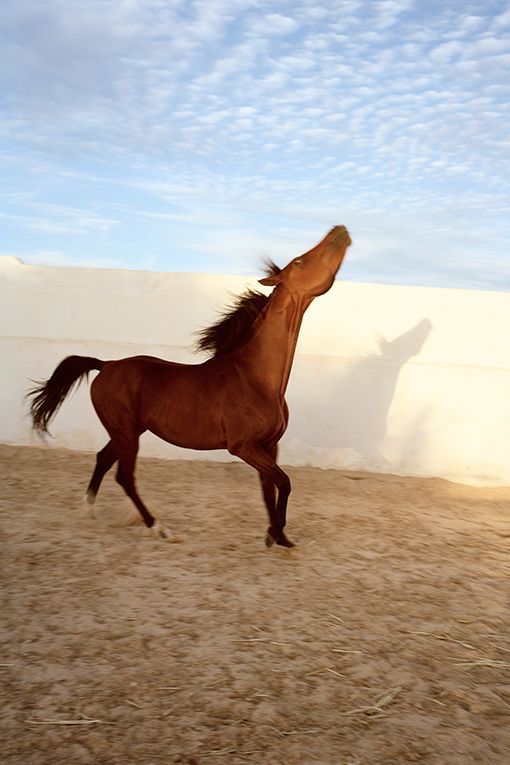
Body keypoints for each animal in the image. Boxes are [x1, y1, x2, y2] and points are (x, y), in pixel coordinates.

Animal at [27, 226, 351, 547]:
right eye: (298, 261)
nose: (340, 230)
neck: (257, 378)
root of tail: (106, 364)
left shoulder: (270, 445)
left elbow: (269, 488)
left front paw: (278, 536)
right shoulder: (244, 447)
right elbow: (283, 482)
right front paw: (276, 534)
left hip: (128, 432)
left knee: (103, 460)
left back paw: (89, 510)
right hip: (126, 434)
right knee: (124, 476)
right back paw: (157, 527)